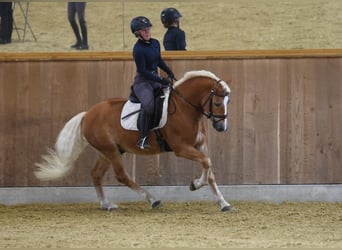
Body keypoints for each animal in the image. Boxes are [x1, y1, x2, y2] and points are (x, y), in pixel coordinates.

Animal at [34, 69, 232, 212]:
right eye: (217, 103)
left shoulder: (201, 144)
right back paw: (153, 200)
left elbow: (209, 168)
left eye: (227, 102)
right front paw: (196, 184)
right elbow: (206, 162)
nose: (221, 127)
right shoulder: (181, 148)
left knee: (96, 174)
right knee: (121, 176)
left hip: (108, 151)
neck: (185, 108)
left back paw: (106, 205)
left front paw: (223, 203)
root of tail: (87, 114)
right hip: (111, 151)